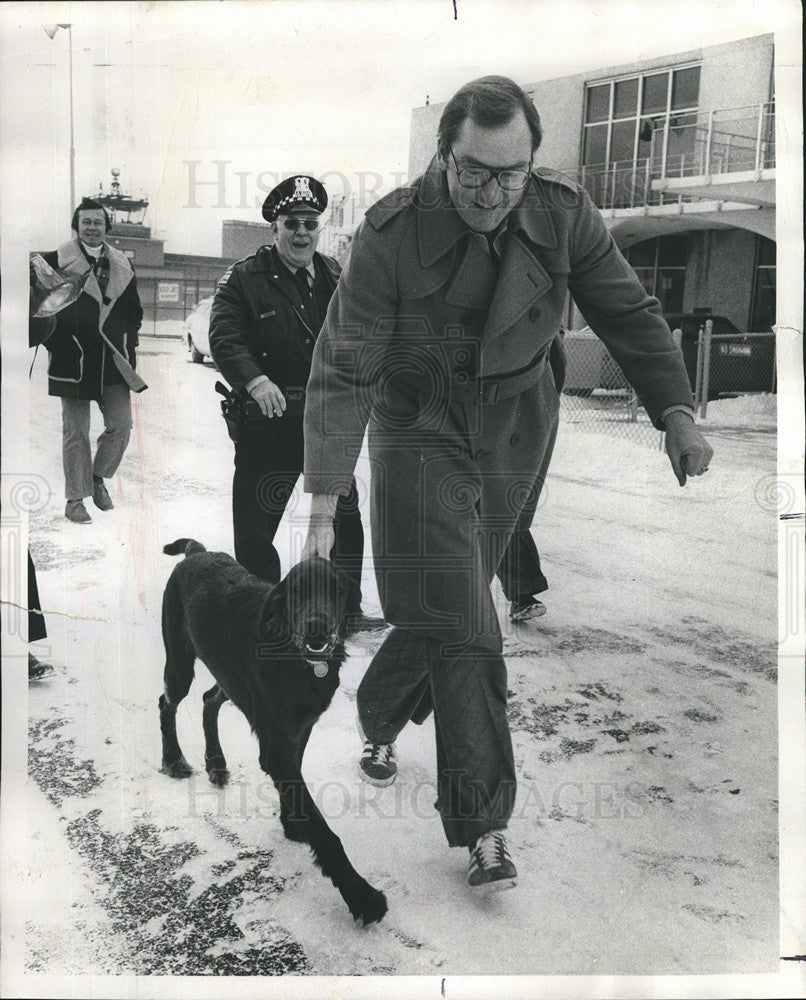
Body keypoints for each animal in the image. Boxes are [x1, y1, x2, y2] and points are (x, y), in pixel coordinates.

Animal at [160, 540, 388, 928]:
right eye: (297, 590)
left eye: (337, 590)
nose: (317, 630)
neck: (299, 660)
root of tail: (197, 552)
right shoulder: (276, 741)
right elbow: (322, 829)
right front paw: (361, 895)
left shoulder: (297, 730)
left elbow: (295, 786)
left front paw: (290, 821)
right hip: (179, 663)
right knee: (167, 703)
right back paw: (174, 759)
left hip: (229, 679)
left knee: (209, 700)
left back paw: (215, 762)